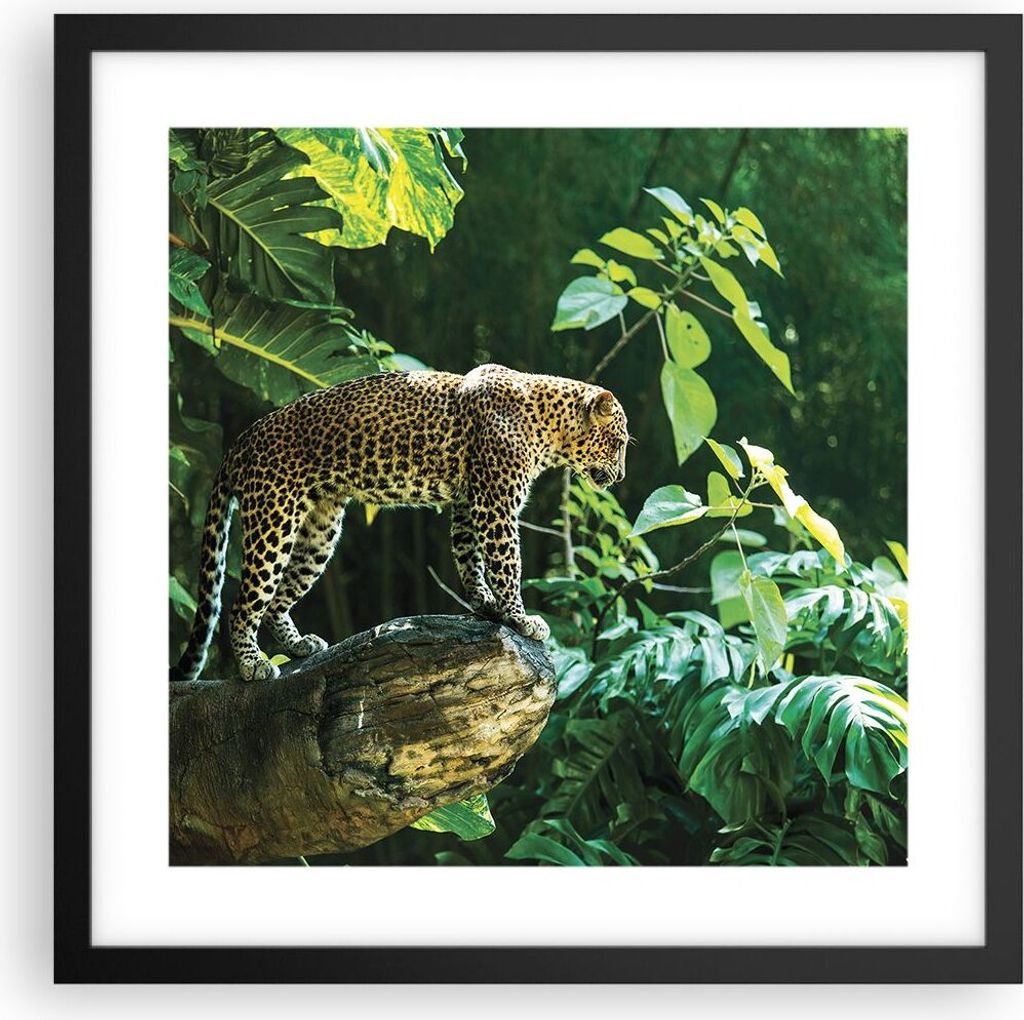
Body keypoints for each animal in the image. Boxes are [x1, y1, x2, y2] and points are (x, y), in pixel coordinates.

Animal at [172, 363, 629, 683]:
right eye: (619, 442)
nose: (622, 475)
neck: (548, 426)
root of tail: (241, 439)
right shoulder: (495, 506)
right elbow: (507, 564)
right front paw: (521, 619)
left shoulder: (469, 504)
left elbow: (469, 558)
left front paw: (485, 605)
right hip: (274, 519)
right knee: (243, 603)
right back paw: (253, 664)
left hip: (319, 530)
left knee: (277, 600)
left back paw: (299, 645)